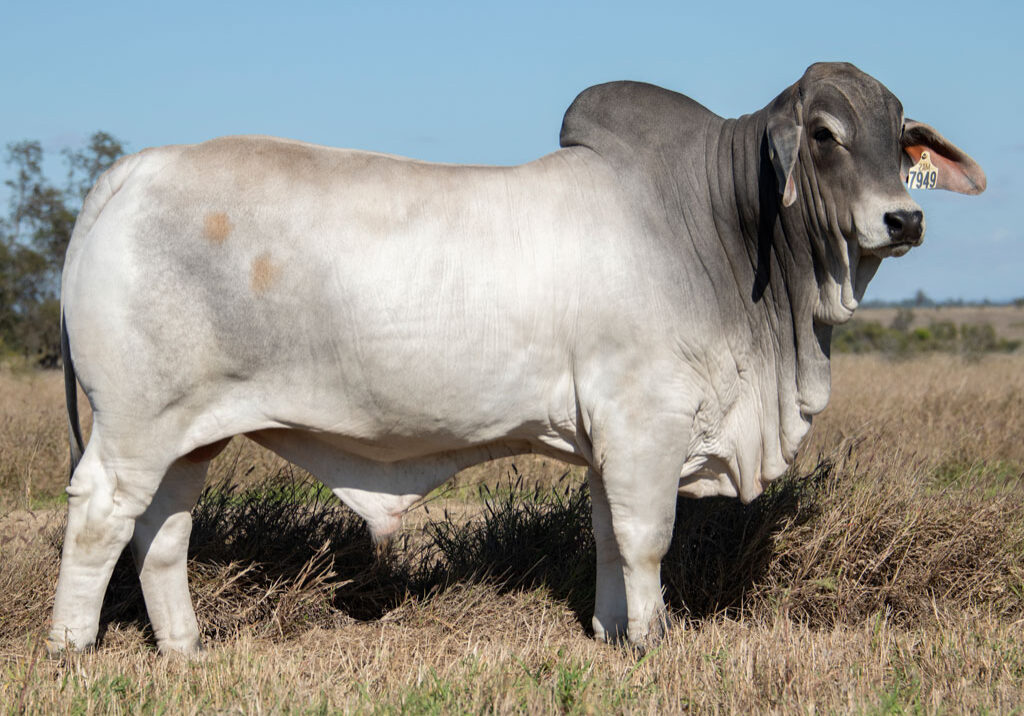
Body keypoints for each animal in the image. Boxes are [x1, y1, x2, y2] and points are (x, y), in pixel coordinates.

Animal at [49, 62, 985, 655]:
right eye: (825, 133)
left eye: (902, 136)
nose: (905, 220)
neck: (715, 226)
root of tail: (128, 174)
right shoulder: (645, 423)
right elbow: (647, 539)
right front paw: (655, 642)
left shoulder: (614, 441)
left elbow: (607, 537)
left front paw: (613, 635)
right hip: (133, 425)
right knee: (100, 518)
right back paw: (71, 650)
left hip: (188, 433)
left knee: (162, 531)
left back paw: (186, 649)